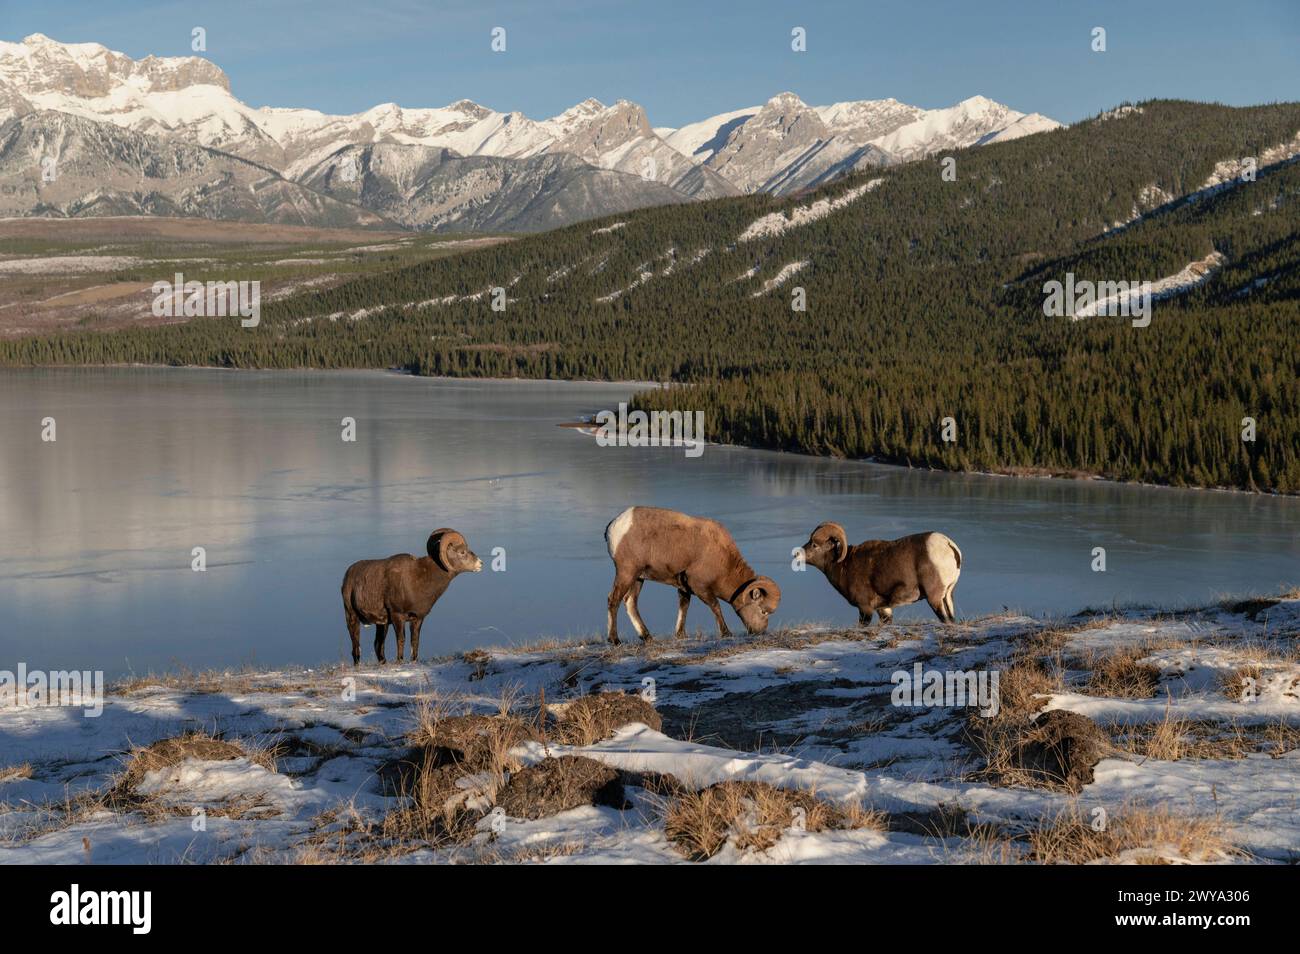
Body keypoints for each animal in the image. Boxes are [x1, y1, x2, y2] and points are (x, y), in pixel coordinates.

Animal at [340, 530, 483, 665]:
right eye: (462, 552)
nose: (480, 564)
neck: (420, 579)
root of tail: (347, 575)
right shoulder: (398, 616)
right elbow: (401, 640)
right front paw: (400, 661)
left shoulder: (417, 619)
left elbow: (415, 642)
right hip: (352, 617)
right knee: (356, 648)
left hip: (382, 624)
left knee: (378, 646)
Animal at [600, 504, 774, 647]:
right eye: (763, 611)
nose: (759, 632)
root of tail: (614, 525)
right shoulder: (699, 586)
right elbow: (715, 606)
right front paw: (726, 633)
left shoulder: (684, 587)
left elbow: (684, 607)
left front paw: (681, 635)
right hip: (626, 573)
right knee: (613, 600)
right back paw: (615, 640)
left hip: (638, 577)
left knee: (630, 602)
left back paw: (647, 637)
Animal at [795, 522, 961, 629]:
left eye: (814, 545)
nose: (796, 554)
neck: (844, 566)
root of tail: (949, 545)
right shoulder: (884, 609)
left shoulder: (865, 609)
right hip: (948, 596)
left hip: (934, 599)